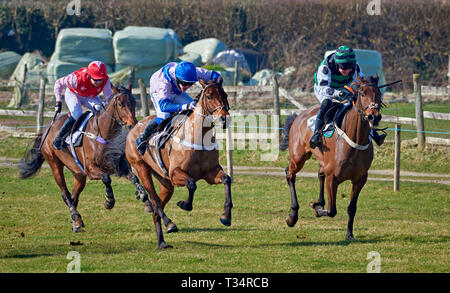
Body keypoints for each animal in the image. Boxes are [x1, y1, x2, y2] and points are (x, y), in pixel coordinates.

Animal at [284, 75, 382, 240]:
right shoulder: (333, 178)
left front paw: (349, 234)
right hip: (298, 157)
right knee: (290, 174)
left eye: (379, 94)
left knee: (319, 173)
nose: (373, 117)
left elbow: (351, 208)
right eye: (362, 93)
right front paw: (316, 208)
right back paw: (293, 216)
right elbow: (331, 211)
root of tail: (299, 116)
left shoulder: (360, 179)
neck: (354, 141)